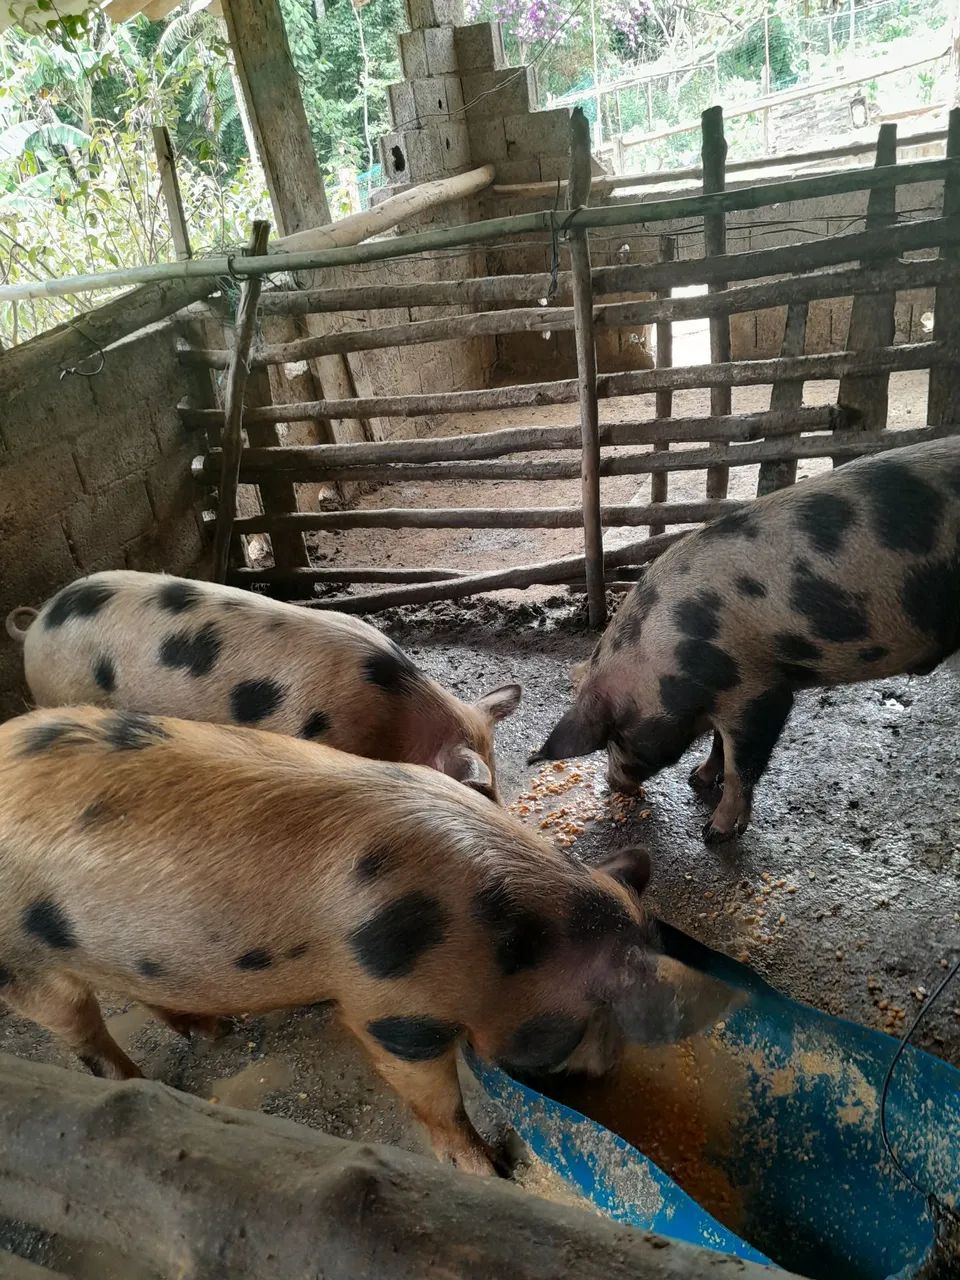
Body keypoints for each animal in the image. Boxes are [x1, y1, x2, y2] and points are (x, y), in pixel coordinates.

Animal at [0, 705, 735, 1175]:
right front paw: (489, 1169)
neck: (507, 943)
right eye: (599, 1019)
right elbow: (434, 1099)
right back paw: (150, 1088)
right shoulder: (392, 1011)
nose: (605, 1076)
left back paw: (212, 1033)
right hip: (24, 964)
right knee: (84, 1037)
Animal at [531, 437, 960, 842]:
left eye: (614, 737)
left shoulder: (759, 693)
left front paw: (714, 833)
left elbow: (742, 766)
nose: (612, 783)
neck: (670, 657)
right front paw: (697, 778)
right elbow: (719, 745)